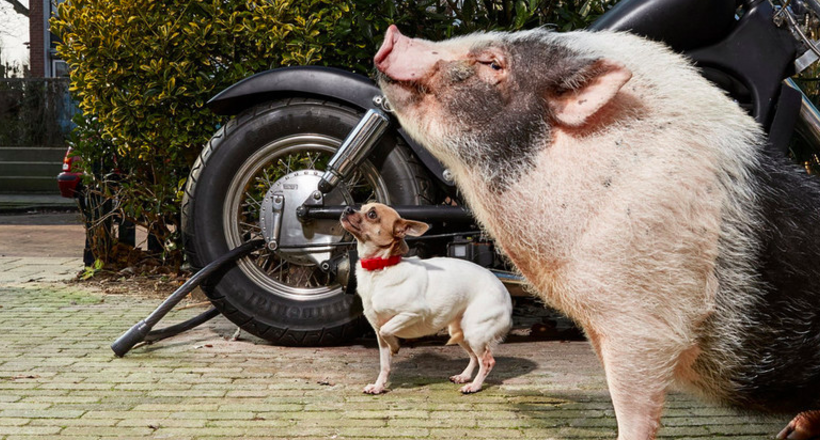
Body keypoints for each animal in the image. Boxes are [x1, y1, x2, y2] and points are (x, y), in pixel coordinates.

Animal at [342, 203, 512, 396]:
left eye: (372, 214)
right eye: (361, 207)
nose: (347, 208)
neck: (380, 268)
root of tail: (505, 293)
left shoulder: (412, 313)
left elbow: (387, 331)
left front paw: (395, 345)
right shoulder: (378, 333)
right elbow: (384, 365)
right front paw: (379, 386)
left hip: (475, 331)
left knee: (487, 361)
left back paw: (474, 386)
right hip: (460, 331)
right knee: (474, 357)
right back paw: (464, 377)